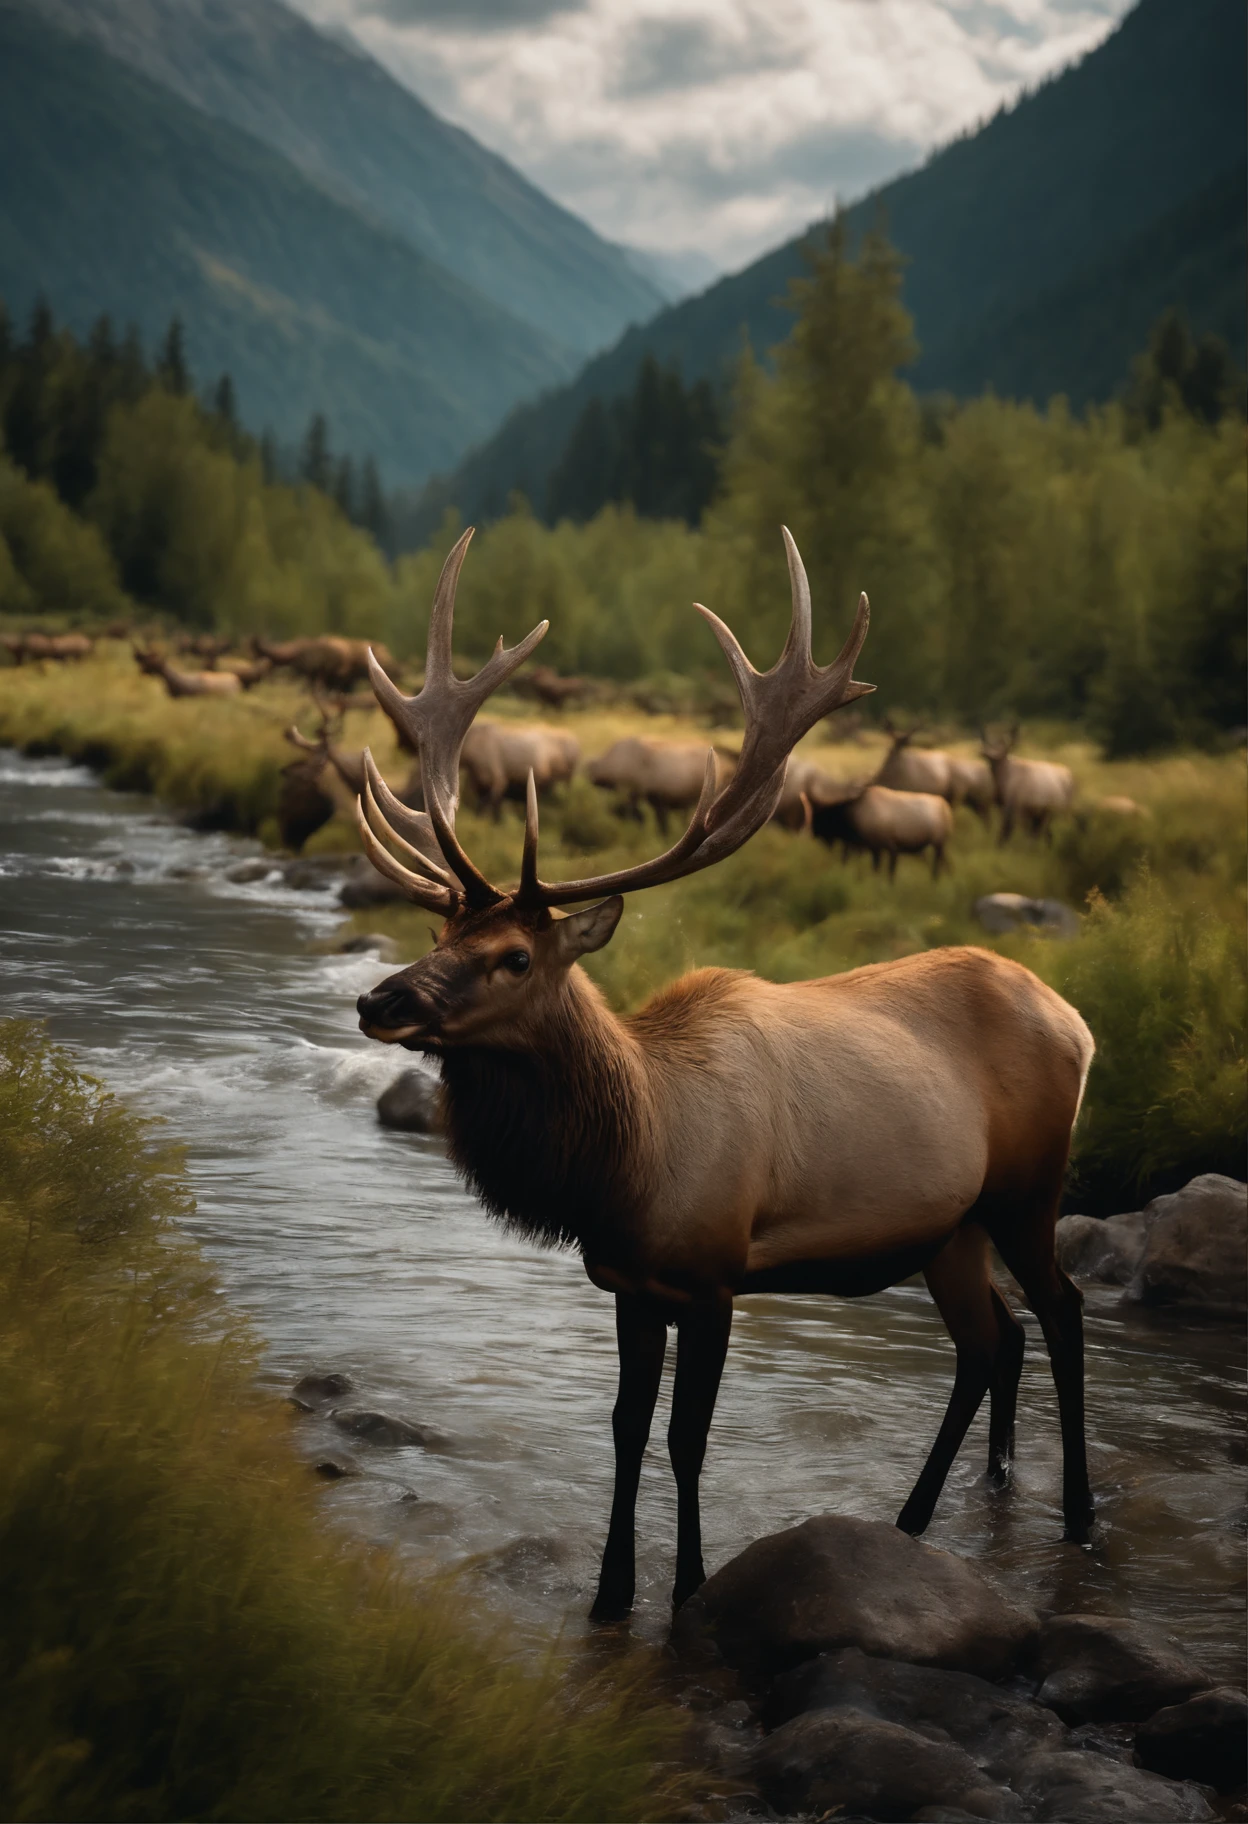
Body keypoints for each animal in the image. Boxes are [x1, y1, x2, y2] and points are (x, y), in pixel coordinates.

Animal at [810, 777, 956, 875]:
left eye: (821, 818)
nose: (813, 832)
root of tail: (947, 809)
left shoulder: (888, 846)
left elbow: (886, 874)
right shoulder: (872, 847)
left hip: (938, 843)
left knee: (937, 868)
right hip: (940, 845)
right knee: (945, 864)